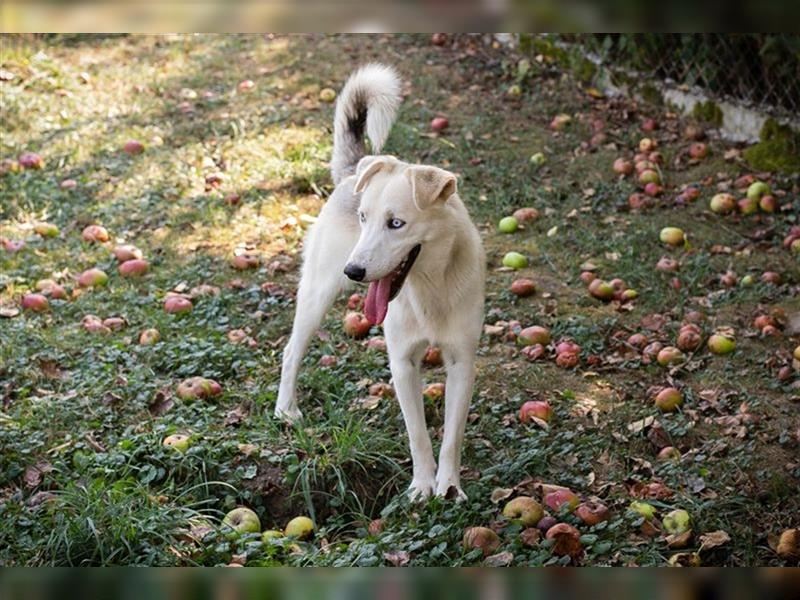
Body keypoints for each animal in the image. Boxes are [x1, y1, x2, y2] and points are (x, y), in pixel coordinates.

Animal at [278, 63, 484, 500]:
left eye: (397, 224)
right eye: (363, 218)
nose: (353, 272)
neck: (429, 288)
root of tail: (354, 171)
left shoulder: (461, 363)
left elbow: (451, 436)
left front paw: (449, 487)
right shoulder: (403, 363)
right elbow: (418, 435)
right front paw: (422, 486)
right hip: (317, 295)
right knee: (291, 351)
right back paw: (285, 408)